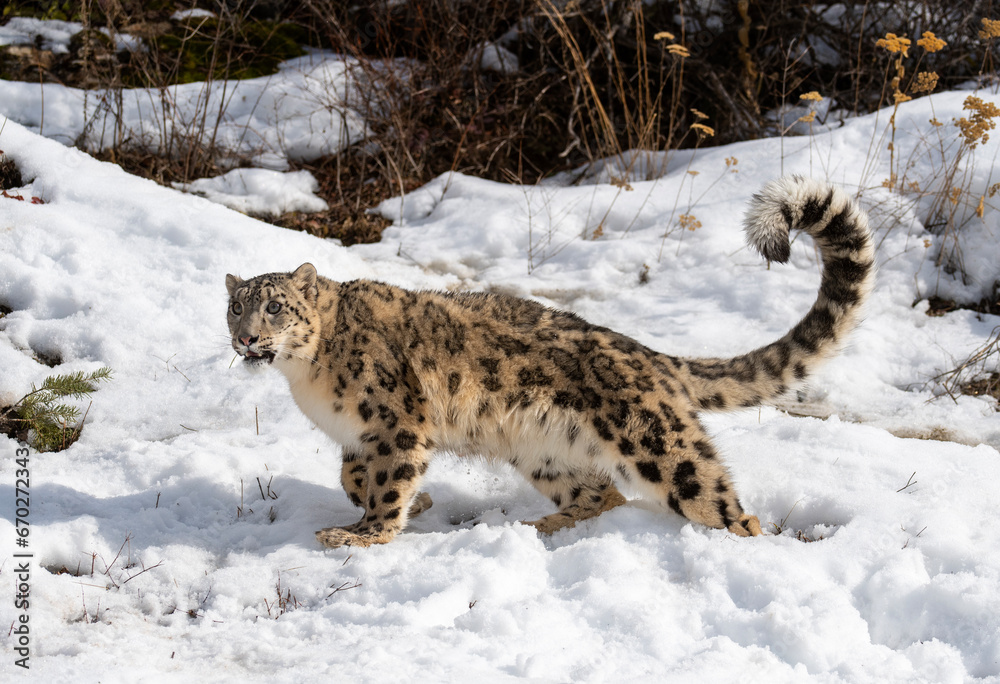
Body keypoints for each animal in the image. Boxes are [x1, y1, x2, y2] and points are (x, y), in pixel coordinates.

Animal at [225, 176, 875, 549]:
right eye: (236, 307)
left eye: (276, 306)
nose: (247, 340)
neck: (305, 378)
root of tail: (653, 358)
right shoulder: (359, 437)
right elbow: (353, 477)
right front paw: (412, 504)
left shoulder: (396, 422)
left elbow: (387, 483)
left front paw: (365, 534)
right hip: (546, 452)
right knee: (602, 494)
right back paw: (543, 527)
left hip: (664, 450)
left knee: (725, 506)